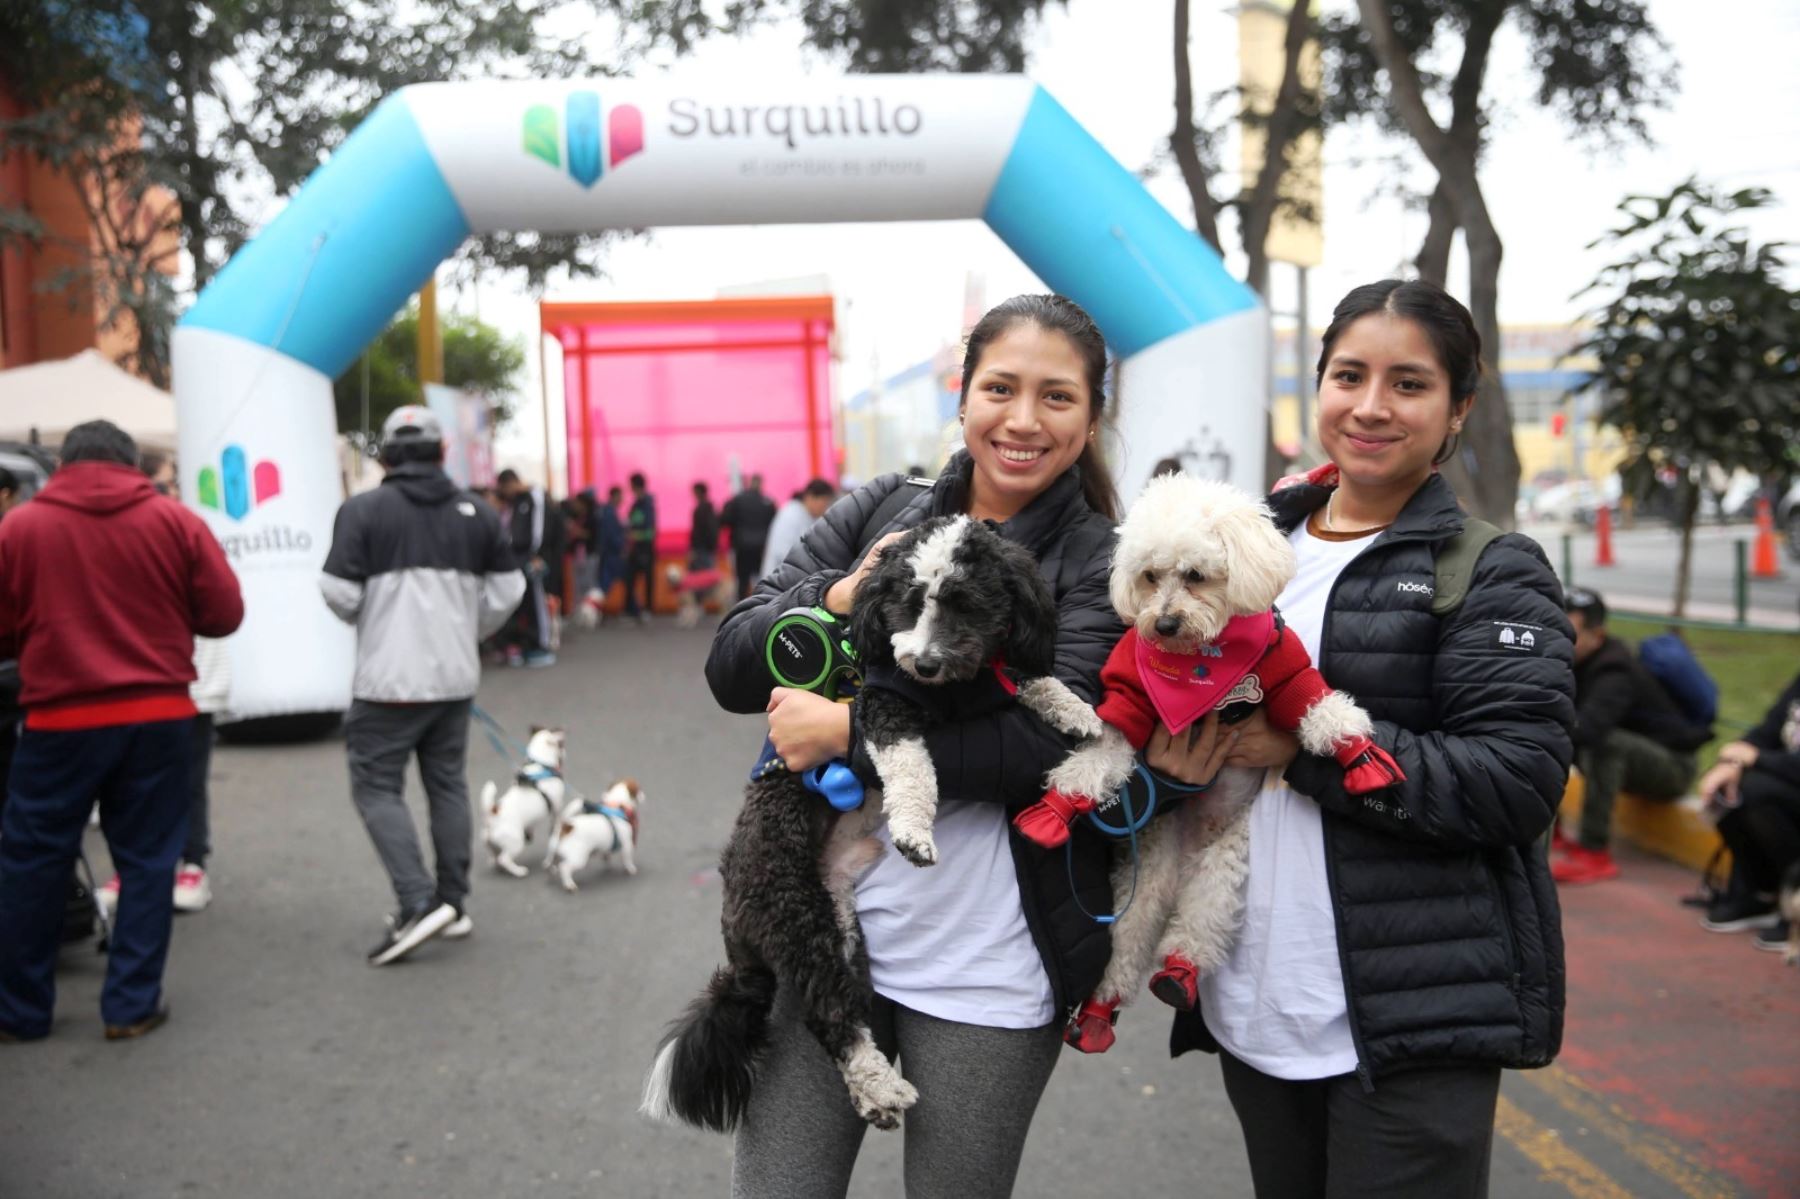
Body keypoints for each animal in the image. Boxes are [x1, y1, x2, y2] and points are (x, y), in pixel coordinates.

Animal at [478, 720, 568, 878]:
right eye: (561, 745)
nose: (566, 754)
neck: (540, 764)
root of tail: (493, 812)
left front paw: (530, 833)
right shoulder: (557, 806)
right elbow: (557, 819)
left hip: (489, 842)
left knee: (494, 857)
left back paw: (497, 865)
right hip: (516, 843)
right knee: (504, 859)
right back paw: (519, 871)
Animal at [640, 514, 1072, 1130]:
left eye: (966, 604)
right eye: (909, 603)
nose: (924, 663)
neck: (950, 691)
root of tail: (736, 929)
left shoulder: (985, 673)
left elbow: (1025, 675)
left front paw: (1078, 711)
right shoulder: (882, 706)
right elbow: (912, 767)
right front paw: (914, 832)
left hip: (838, 925)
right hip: (799, 924)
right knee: (829, 1014)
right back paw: (879, 1090)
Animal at [1022, 471, 1396, 1051]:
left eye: (1196, 575)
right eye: (1149, 576)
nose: (1163, 624)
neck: (1203, 659)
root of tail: (1187, 858)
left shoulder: (1283, 668)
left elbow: (1318, 706)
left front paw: (1360, 757)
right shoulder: (1129, 698)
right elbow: (1101, 751)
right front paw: (1059, 808)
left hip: (1223, 863)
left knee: (1200, 923)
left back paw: (1179, 973)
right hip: (1145, 876)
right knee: (1127, 945)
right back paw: (1101, 1011)